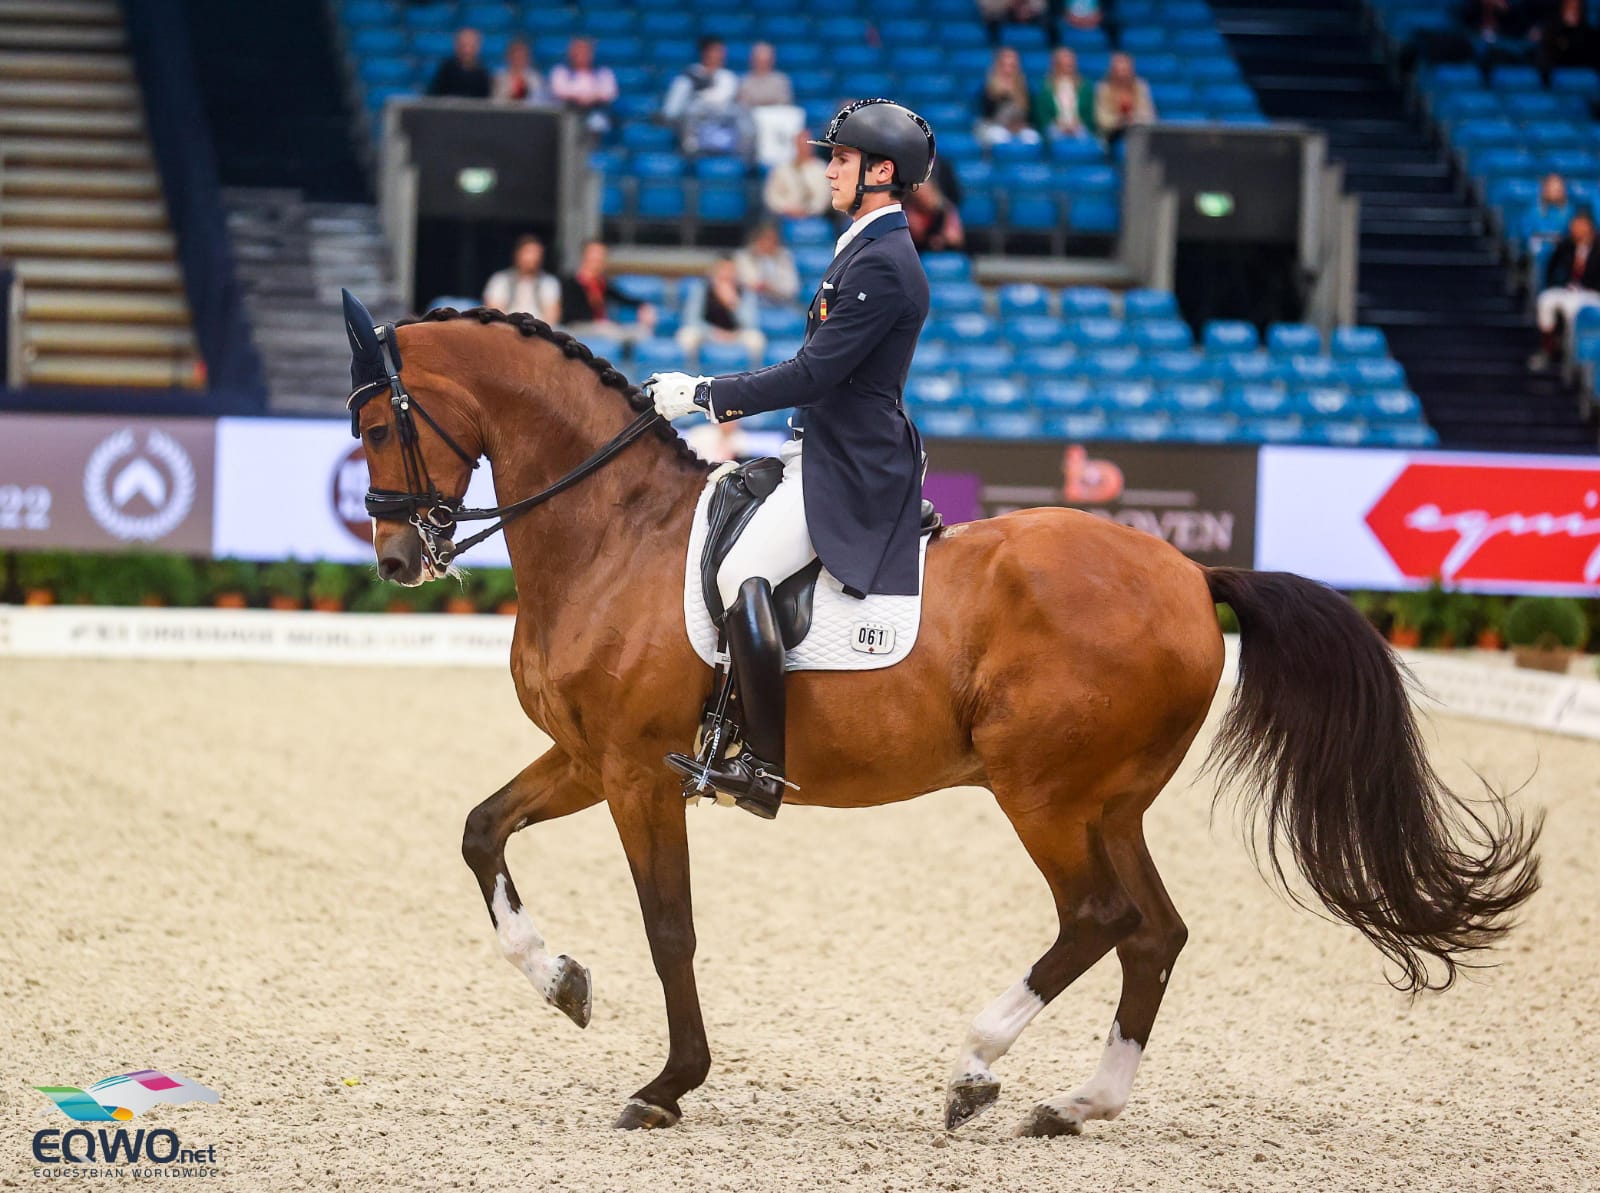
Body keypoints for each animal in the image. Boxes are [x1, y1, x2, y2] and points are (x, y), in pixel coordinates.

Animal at [344, 299, 1542, 1132]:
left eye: (373, 422)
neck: (613, 531)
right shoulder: (589, 756)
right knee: (1153, 931)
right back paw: (1075, 1102)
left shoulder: (640, 772)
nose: (399, 558)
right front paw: (563, 983)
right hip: (1110, 799)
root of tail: (1188, 571)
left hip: (1040, 790)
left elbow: (669, 926)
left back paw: (975, 1066)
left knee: (1098, 917)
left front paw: (668, 1082)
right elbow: (481, 831)